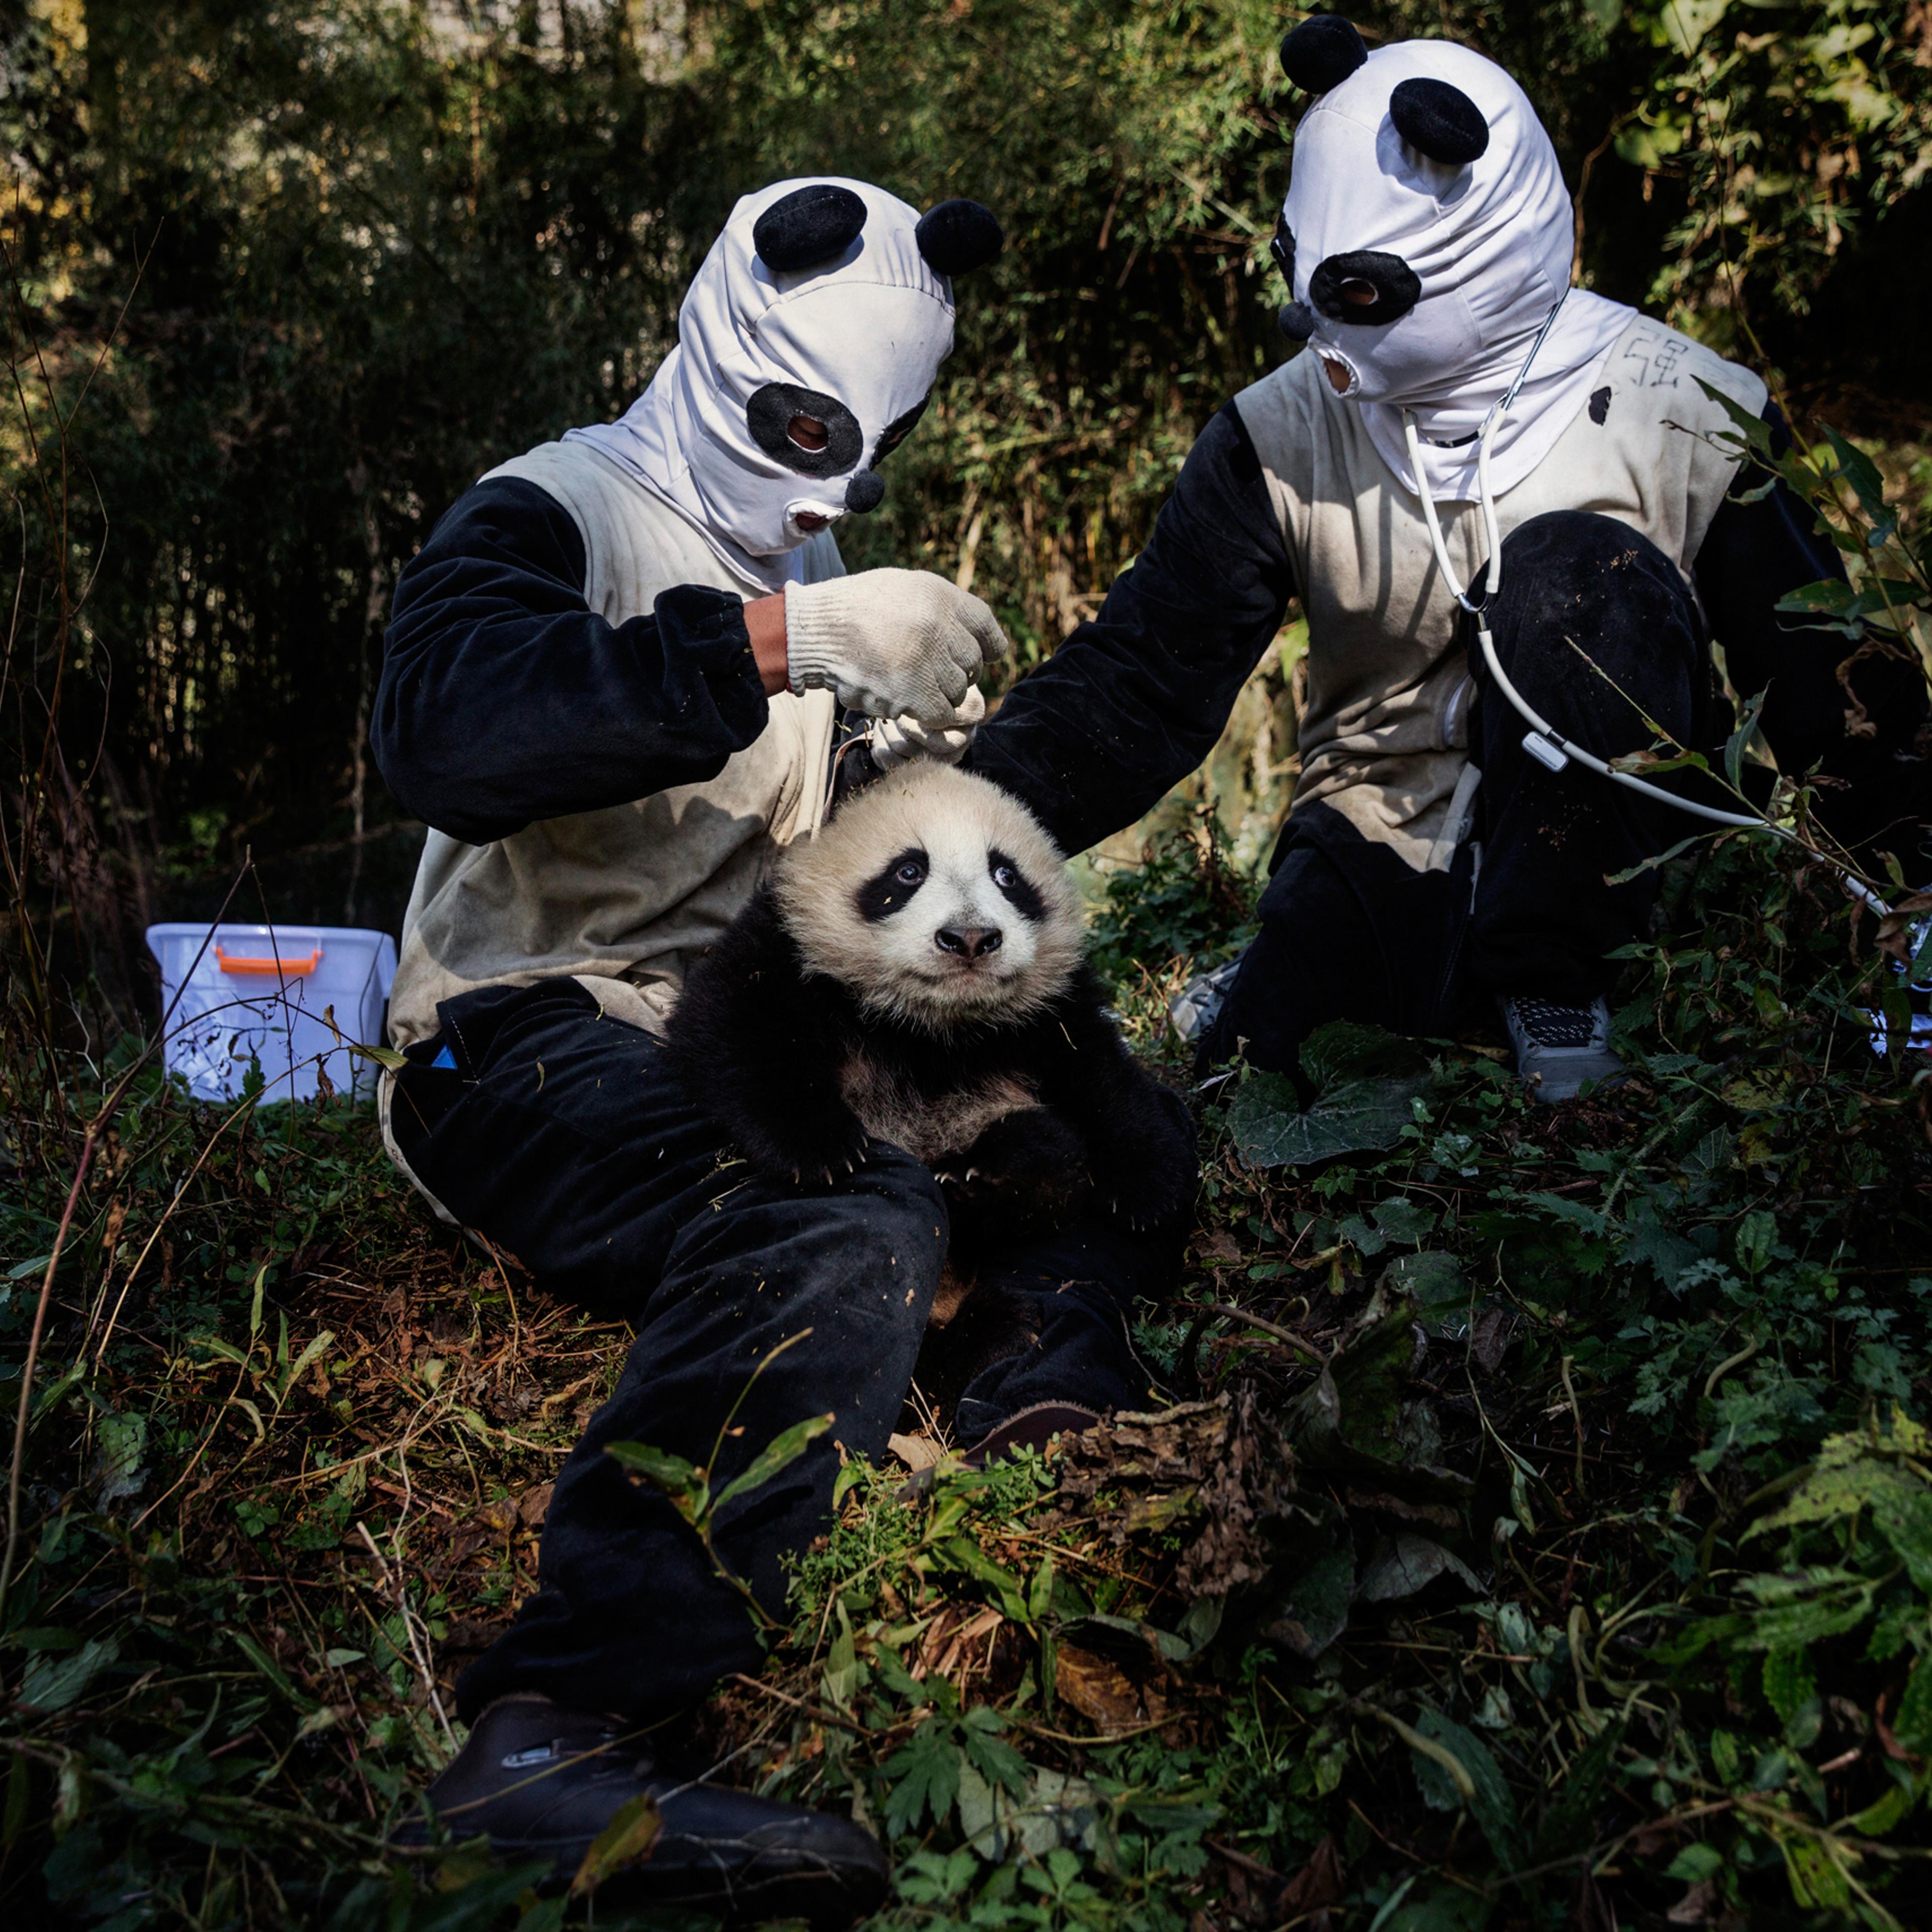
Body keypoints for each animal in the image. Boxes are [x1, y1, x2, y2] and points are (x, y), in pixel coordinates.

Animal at [665, 763, 1197, 1291]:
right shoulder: (787, 948)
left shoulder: (1051, 1009)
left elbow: (1100, 1074)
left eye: (1006, 875)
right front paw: (820, 1146)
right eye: (909, 871)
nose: (970, 938)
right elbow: (730, 1022)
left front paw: (1144, 1189)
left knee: (1049, 1148)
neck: (933, 1027)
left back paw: (986, 1180)